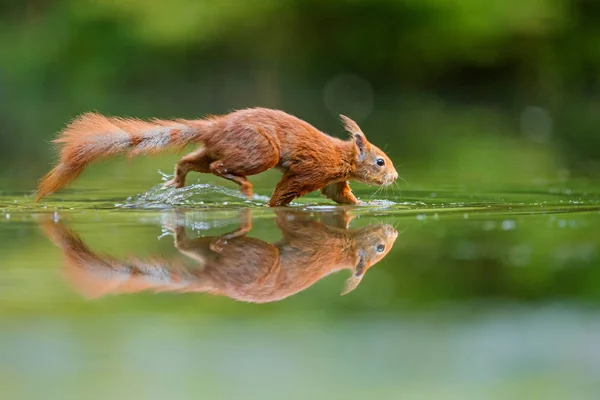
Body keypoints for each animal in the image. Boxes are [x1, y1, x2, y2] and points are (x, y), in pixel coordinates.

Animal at [34, 107, 398, 206]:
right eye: (380, 161)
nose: (395, 177)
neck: (342, 155)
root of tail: (216, 126)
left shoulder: (332, 181)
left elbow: (340, 197)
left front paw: (366, 205)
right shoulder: (312, 170)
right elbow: (286, 190)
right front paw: (272, 206)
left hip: (214, 149)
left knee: (189, 162)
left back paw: (176, 184)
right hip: (259, 152)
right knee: (222, 166)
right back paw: (244, 187)